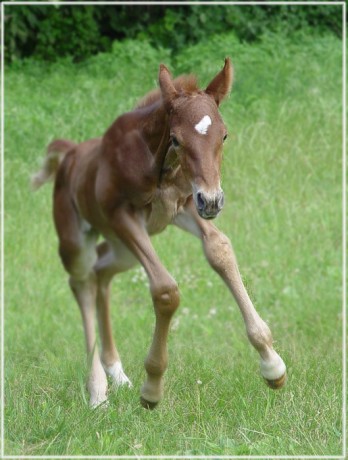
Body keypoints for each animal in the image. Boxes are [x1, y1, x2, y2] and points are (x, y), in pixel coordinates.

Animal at [32, 59, 286, 408]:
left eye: (224, 136)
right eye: (176, 139)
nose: (213, 200)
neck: (160, 164)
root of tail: (69, 154)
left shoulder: (185, 205)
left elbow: (220, 249)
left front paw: (272, 365)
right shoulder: (122, 215)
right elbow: (166, 290)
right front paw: (152, 386)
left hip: (122, 250)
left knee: (101, 272)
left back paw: (117, 373)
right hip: (78, 240)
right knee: (82, 281)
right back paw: (97, 391)